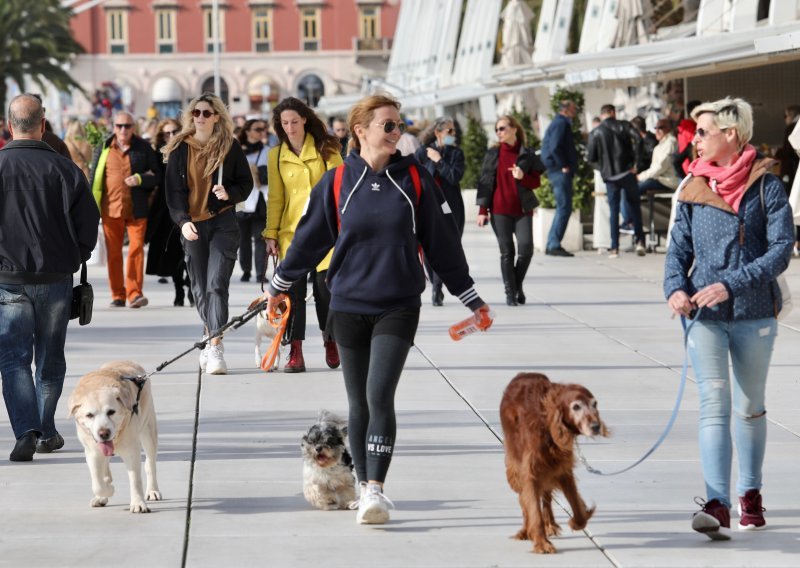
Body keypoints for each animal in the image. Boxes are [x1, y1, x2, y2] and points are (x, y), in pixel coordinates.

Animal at [69, 362, 162, 512]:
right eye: (89, 415)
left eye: (111, 412)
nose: (104, 433)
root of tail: (130, 361)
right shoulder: (92, 451)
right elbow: (98, 483)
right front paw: (106, 491)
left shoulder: (132, 450)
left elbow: (135, 480)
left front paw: (138, 503)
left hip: (149, 431)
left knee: (150, 463)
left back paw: (152, 491)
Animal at [500, 372, 608, 556]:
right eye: (576, 407)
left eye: (595, 404)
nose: (596, 426)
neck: (547, 426)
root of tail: (523, 373)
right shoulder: (530, 472)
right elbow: (532, 509)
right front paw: (542, 543)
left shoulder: (562, 469)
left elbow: (576, 506)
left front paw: (576, 521)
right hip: (515, 469)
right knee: (524, 501)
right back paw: (525, 530)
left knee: (546, 497)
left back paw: (549, 524)